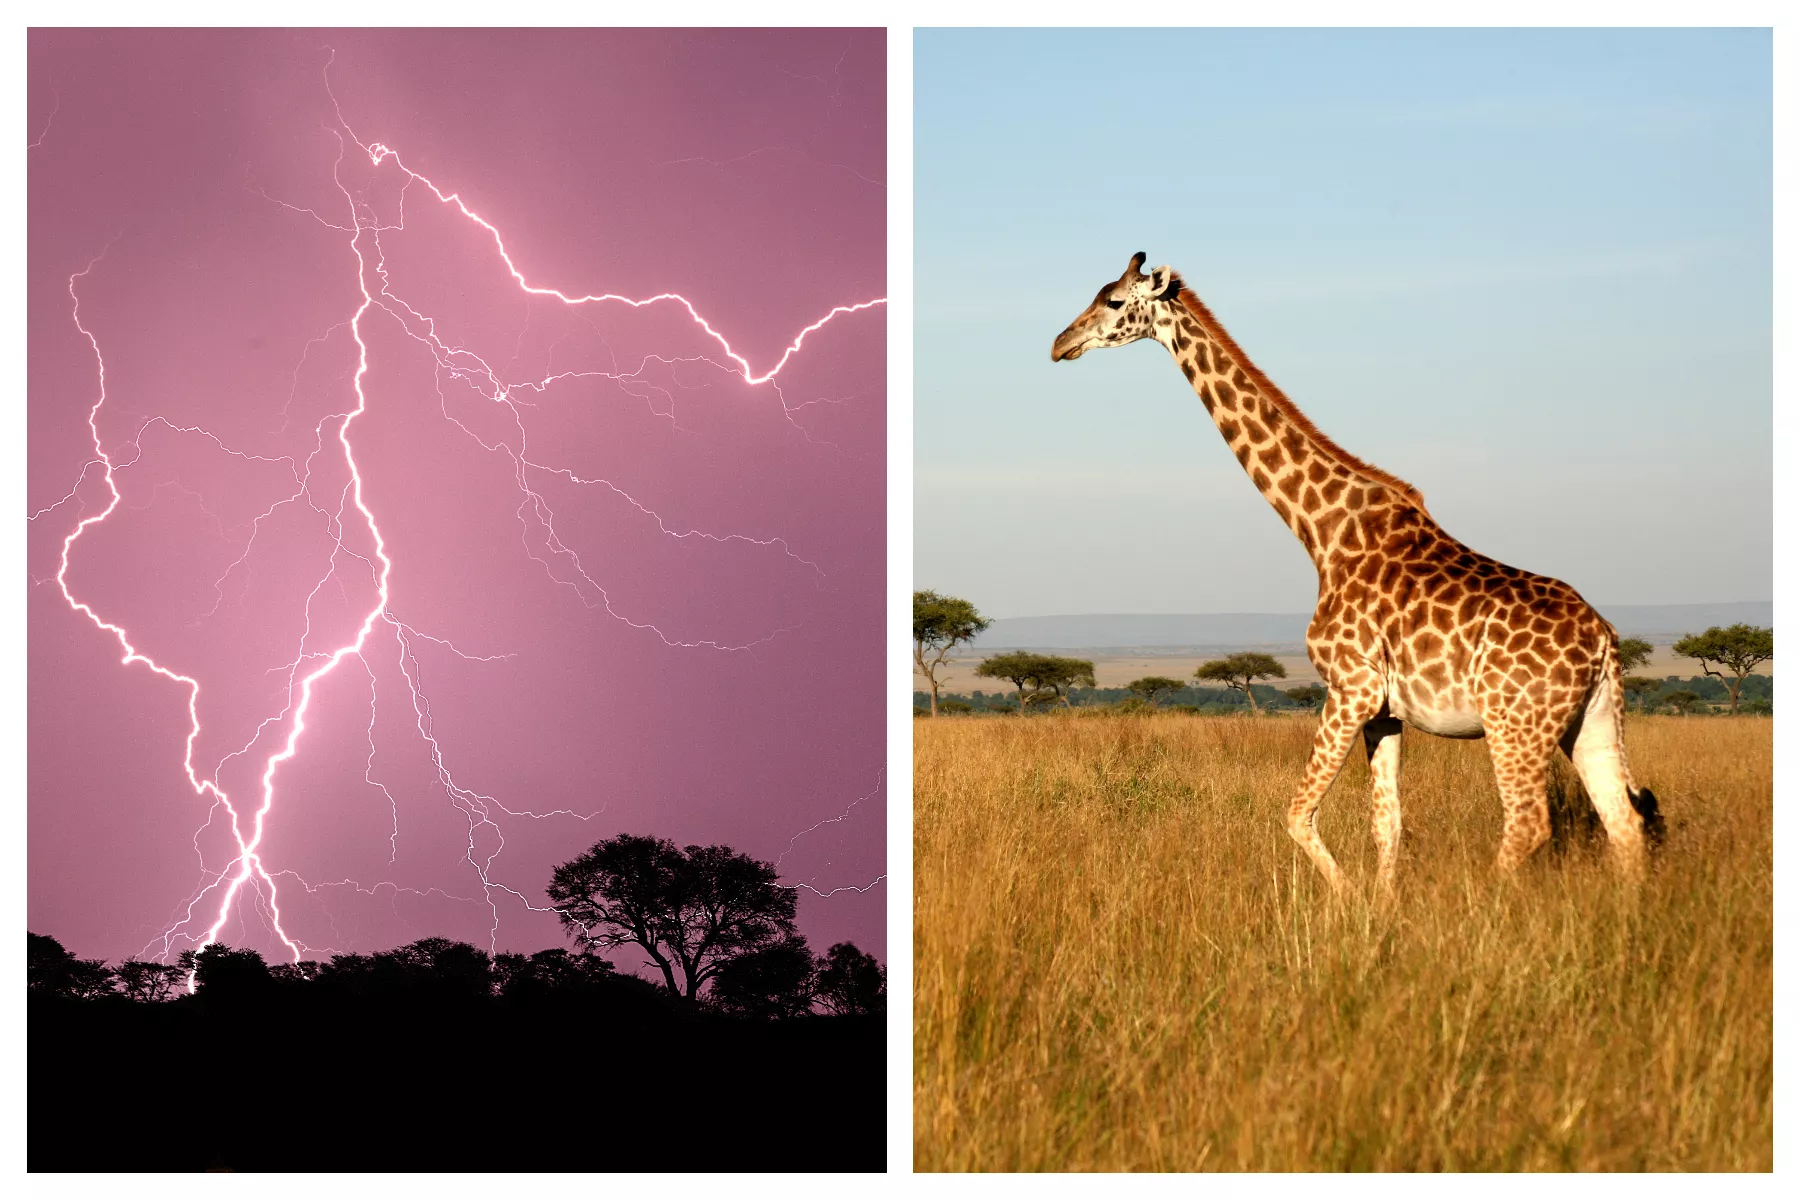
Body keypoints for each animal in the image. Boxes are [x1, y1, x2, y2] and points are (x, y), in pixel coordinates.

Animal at [1051, 253, 1664, 893]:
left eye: (1114, 300)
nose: (1060, 343)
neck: (1322, 532)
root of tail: (1603, 641)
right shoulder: (1386, 712)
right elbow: (1386, 823)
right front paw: (1383, 904)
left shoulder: (1351, 687)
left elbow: (1297, 814)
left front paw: (1349, 900)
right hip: (1591, 721)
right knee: (1622, 821)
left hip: (1514, 723)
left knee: (1528, 823)